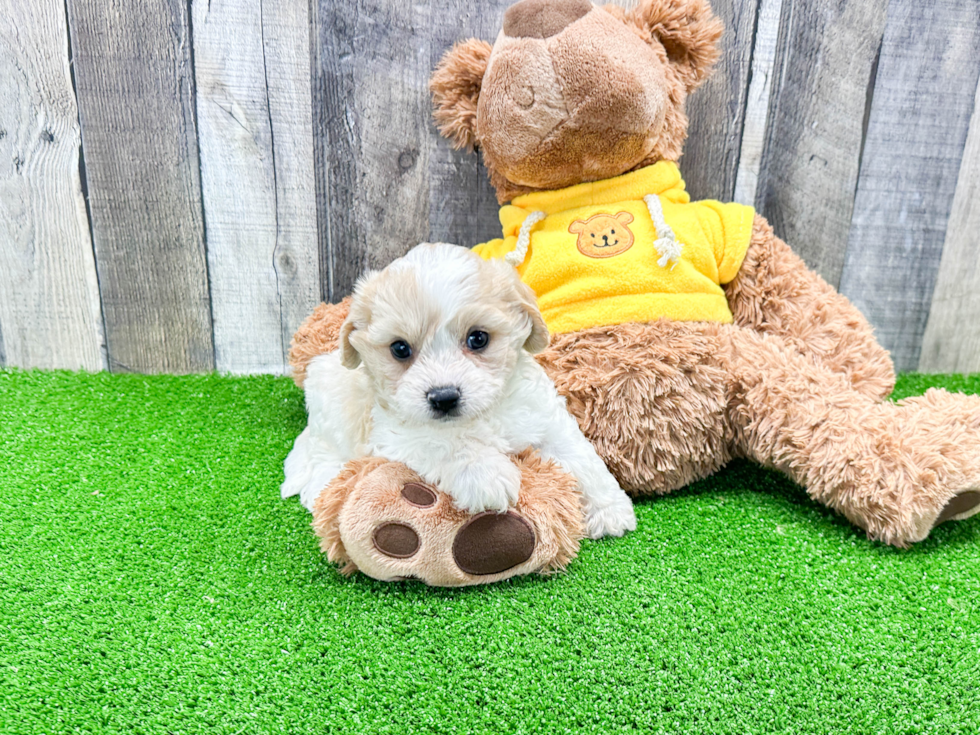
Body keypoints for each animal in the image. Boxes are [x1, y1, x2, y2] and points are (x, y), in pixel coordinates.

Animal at [280, 244, 640, 536]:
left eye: (478, 338)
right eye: (400, 349)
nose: (443, 398)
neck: (481, 415)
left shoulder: (545, 417)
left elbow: (579, 457)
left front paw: (608, 509)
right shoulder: (397, 434)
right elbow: (446, 443)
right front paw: (487, 474)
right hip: (332, 407)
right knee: (323, 453)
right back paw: (321, 486)